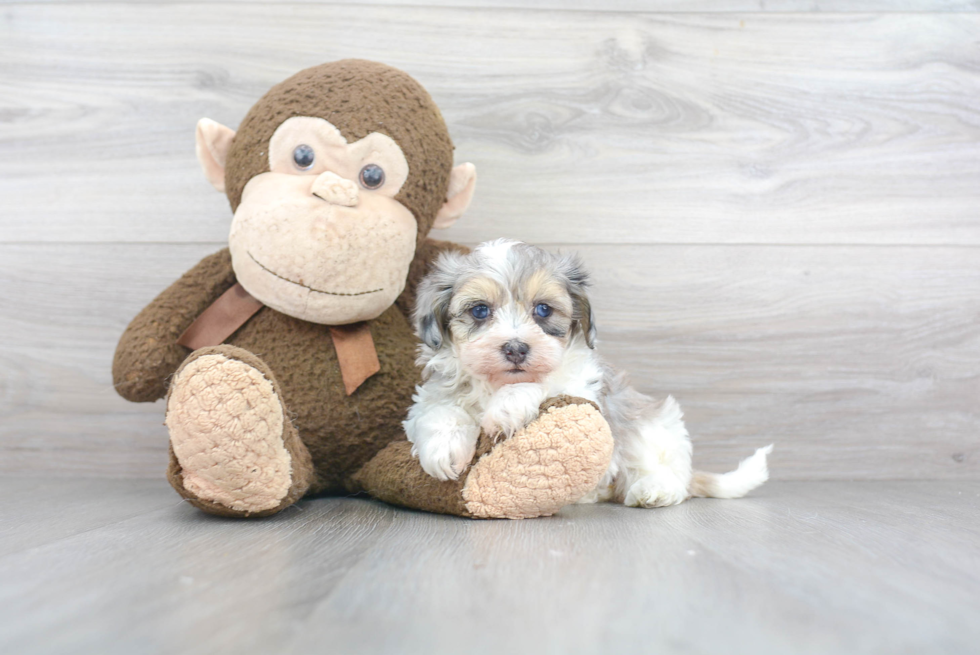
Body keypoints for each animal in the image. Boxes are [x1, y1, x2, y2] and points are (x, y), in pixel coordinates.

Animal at [402, 238, 768, 510]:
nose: (516, 348)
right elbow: (438, 411)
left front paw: (506, 408)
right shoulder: (432, 394)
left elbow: (544, 382)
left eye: (543, 310)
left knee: (665, 472)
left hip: (657, 431)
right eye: (479, 311)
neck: (496, 383)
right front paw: (445, 449)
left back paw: (653, 489)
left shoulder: (581, 386)